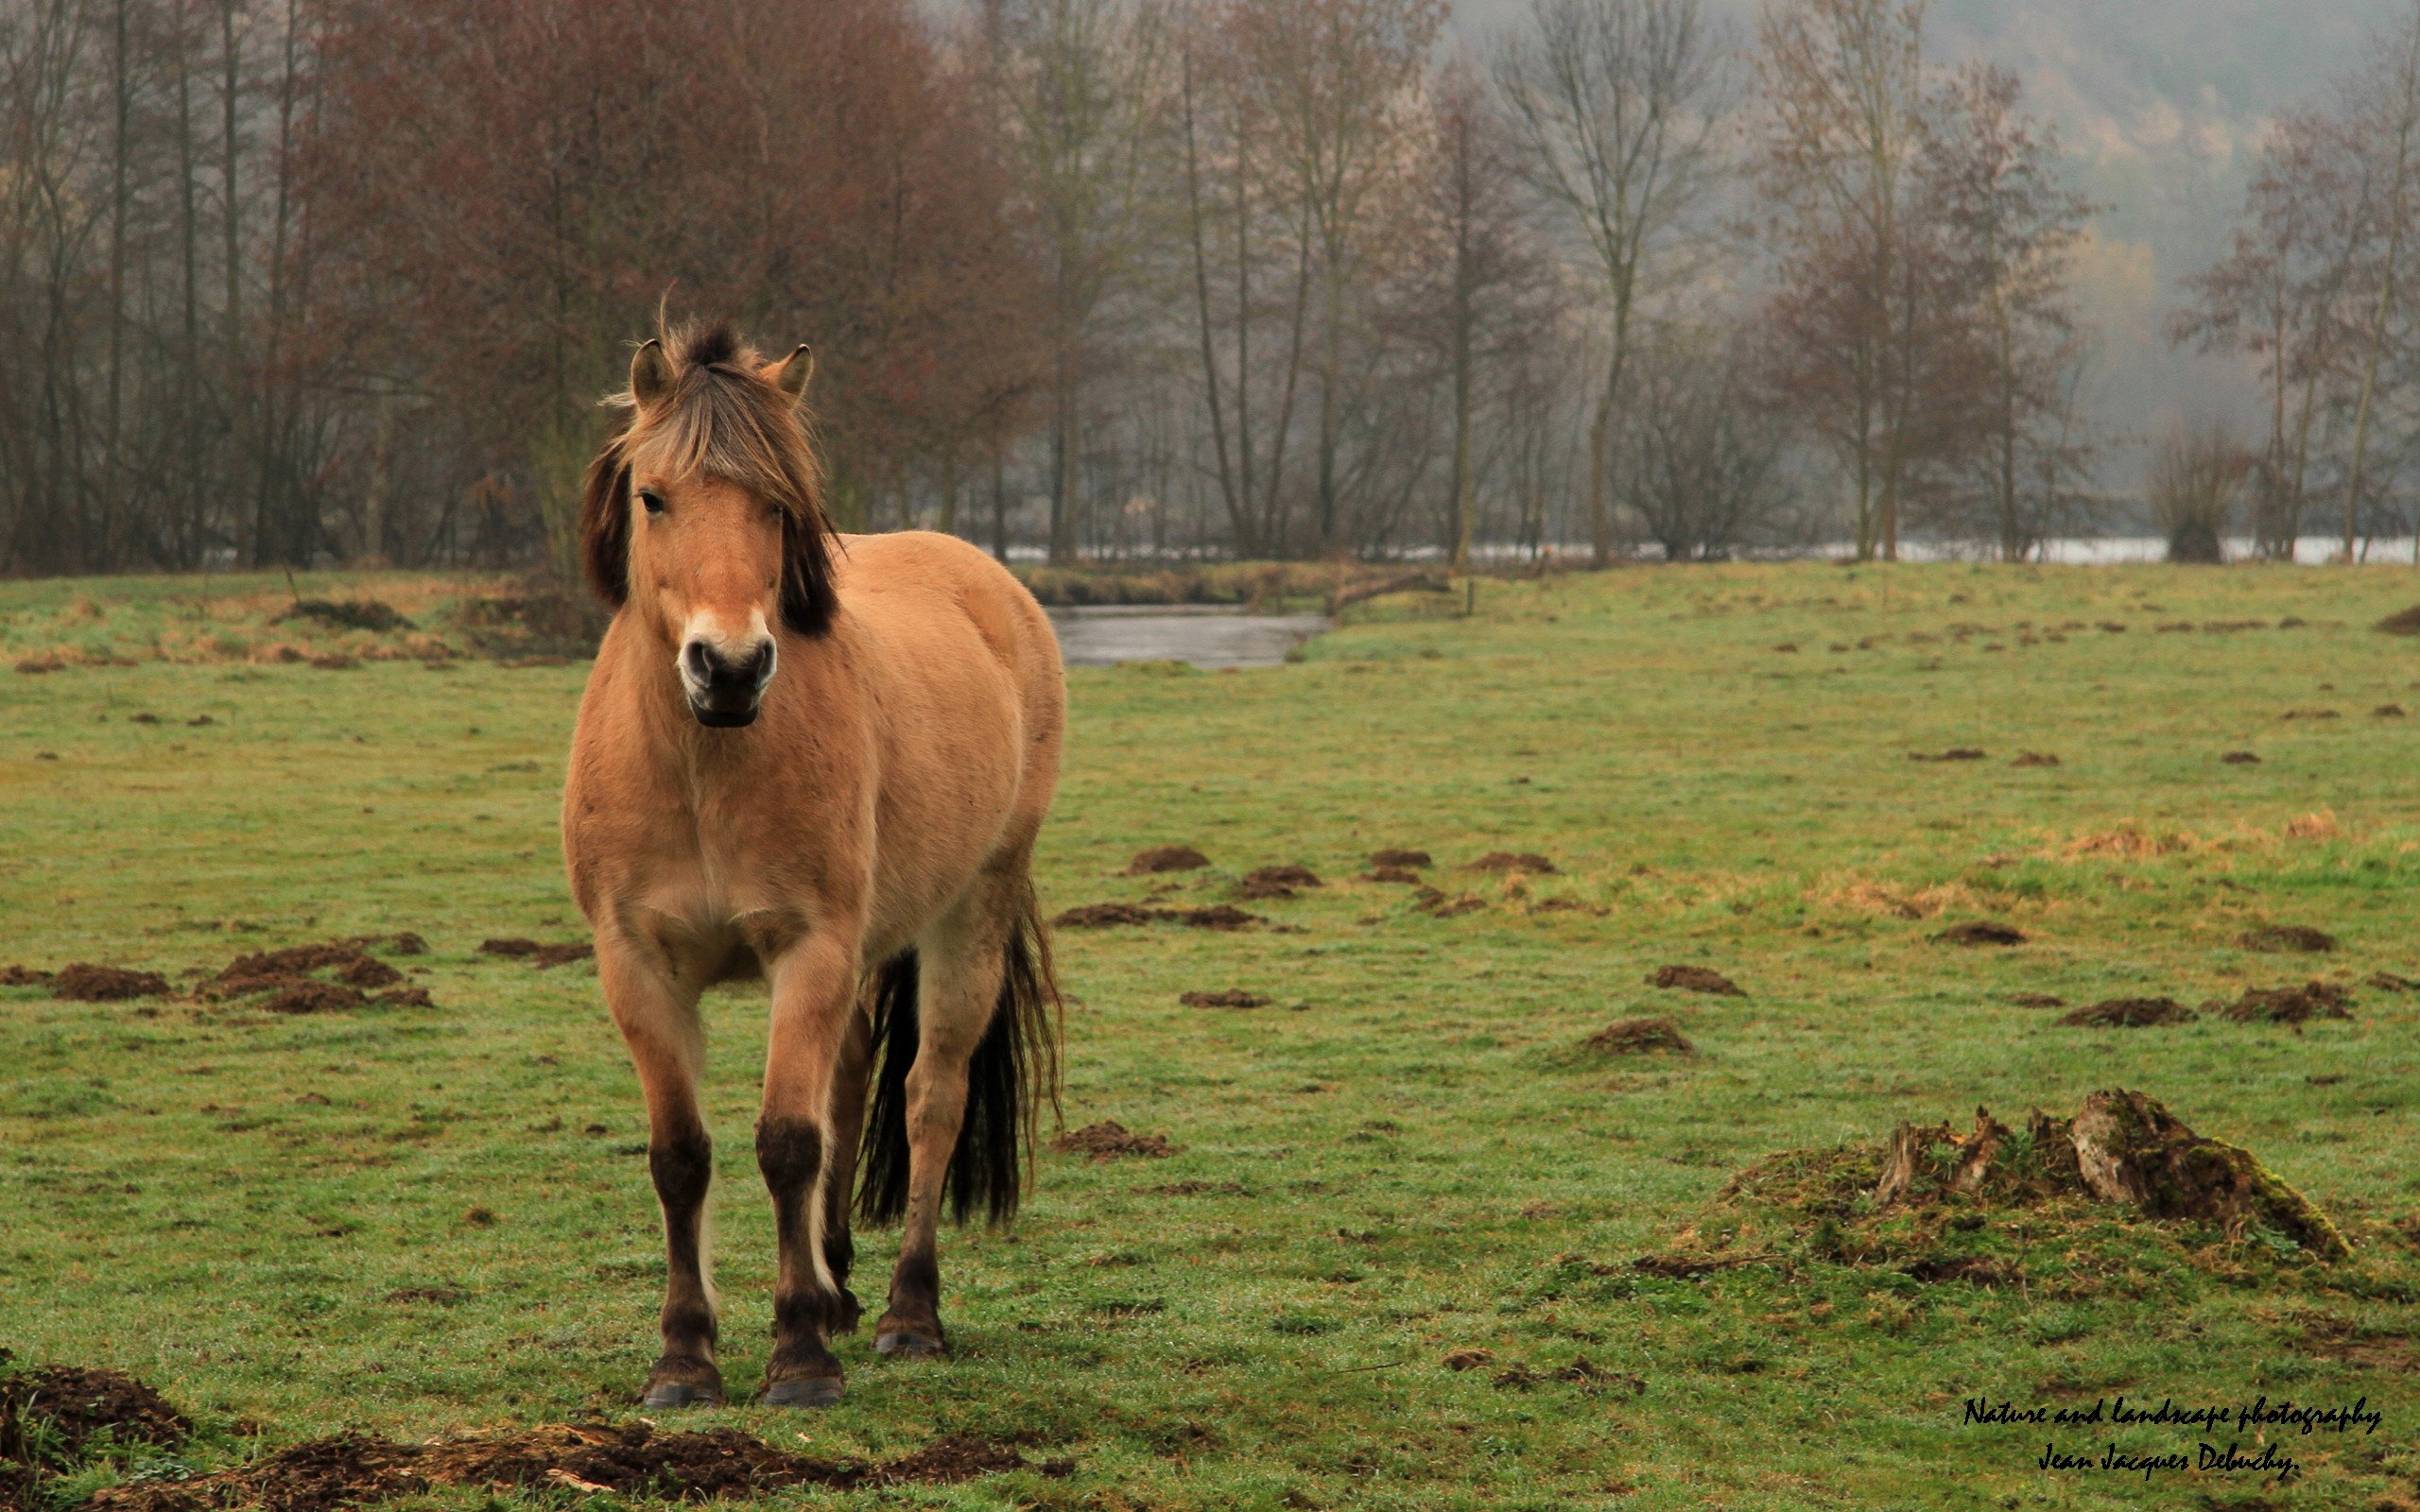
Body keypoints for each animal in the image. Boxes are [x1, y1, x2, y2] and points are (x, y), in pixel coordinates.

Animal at [566, 318, 1069, 1402]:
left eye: (777, 504)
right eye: (653, 496)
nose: (729, 668)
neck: (707, 769)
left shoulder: (811, 949)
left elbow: (788, 1142)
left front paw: (798, 1355)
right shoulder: (636, 963)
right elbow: (682, 1154)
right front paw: (686, 1357)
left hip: (968, 915)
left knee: (929, 1097)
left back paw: (906, 1314)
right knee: (848, 1078)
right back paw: (837, 1285)